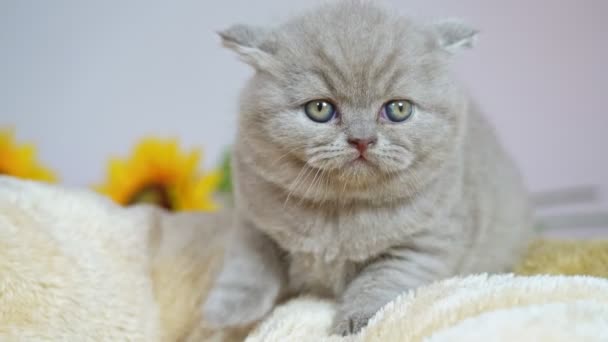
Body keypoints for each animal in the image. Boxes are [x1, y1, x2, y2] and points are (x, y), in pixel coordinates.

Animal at [203, 0, 532, 336]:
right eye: (319, 109)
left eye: (398, 109)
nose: (362, 139)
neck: (337, 214)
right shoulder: (251, 219)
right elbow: (250, 263)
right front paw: (224, 314)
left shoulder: (424, 243)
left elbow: (378, 283)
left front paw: (356, 322)